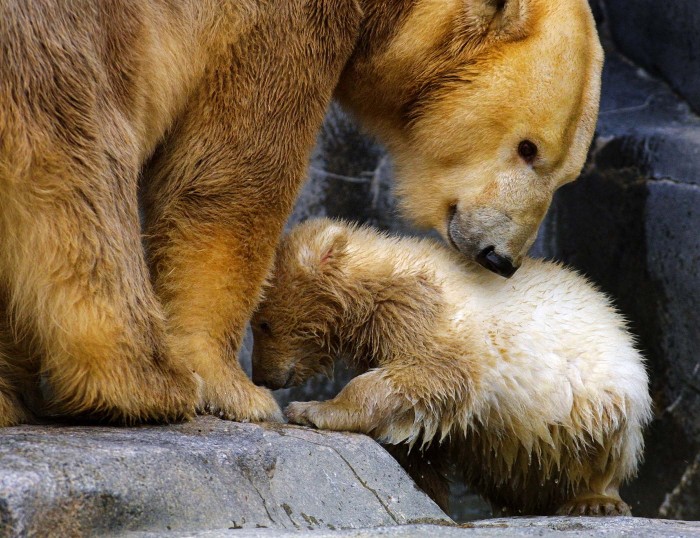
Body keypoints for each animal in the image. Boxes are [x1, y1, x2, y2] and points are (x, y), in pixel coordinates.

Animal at [0, 1, 600, 422]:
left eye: (568, 173)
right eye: (528, 147)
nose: (501, 258)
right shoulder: (282, 20)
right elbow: (236, 171)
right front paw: (233, 389)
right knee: (75, 161)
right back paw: (144, 384)